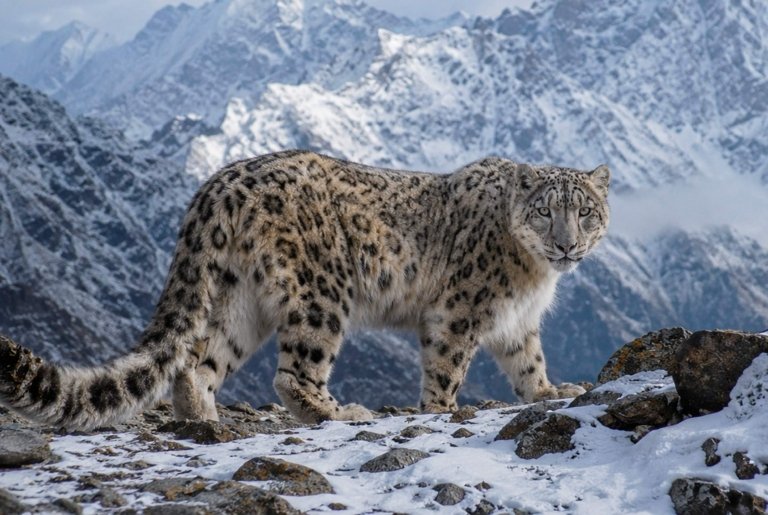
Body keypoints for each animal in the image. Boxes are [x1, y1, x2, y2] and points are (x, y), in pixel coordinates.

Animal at [0, 150, 610, 430]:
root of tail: (220, 183)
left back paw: (205, 417)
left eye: (585, 212)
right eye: (545, 211)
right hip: (321, 294)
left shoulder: (518, 321)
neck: (534, 276)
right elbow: (448, 366)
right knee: (293, 372)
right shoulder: (460, 311)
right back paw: (341, 412)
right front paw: (441, 411)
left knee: (199, 360)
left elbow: (528, 360)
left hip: (239, 300)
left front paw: (551, 391)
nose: (566, 244)